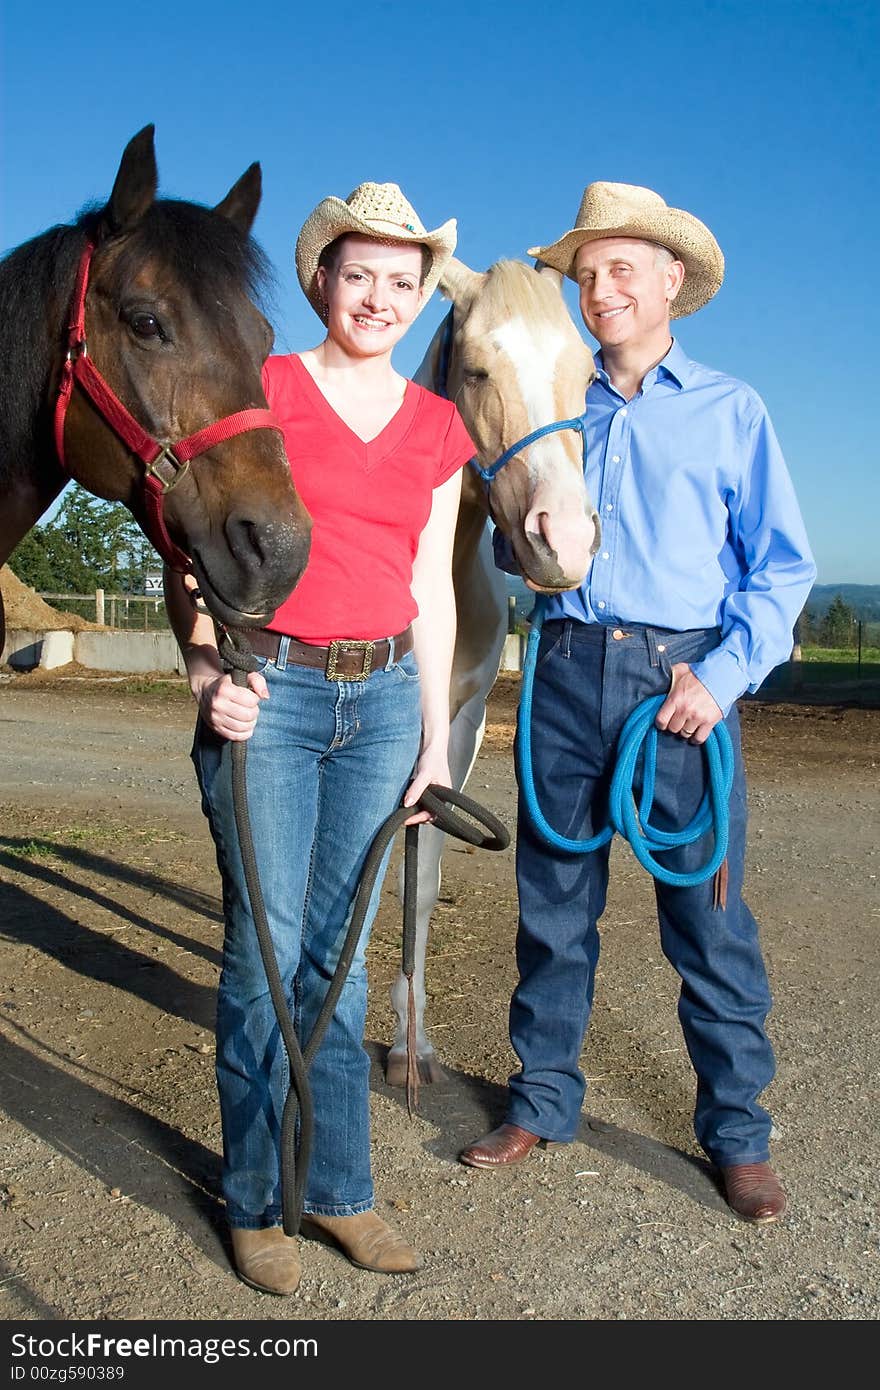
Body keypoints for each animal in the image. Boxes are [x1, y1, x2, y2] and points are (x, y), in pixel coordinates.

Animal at [386, 258, 600, 1084]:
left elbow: (420, 873)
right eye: (476, 369)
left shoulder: (459, 726)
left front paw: (411, 1042)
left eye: (587, 373)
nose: (564, 540)